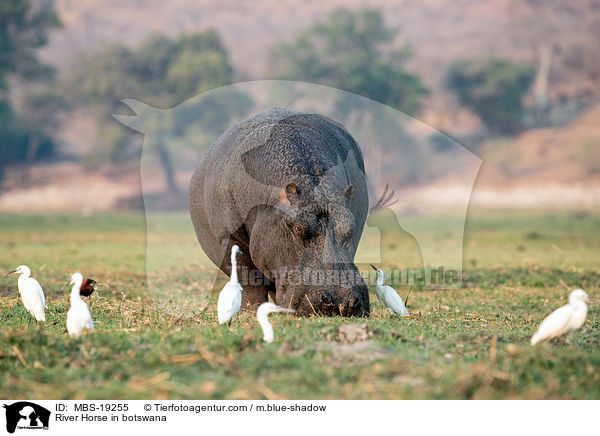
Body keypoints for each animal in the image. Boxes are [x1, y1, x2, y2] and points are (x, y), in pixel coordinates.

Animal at [190, 107, 370, 316]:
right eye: (298, 228)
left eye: (350, 227)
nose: (342, 302)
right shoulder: (230, 237)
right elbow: (249, 280)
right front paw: (250, 312)